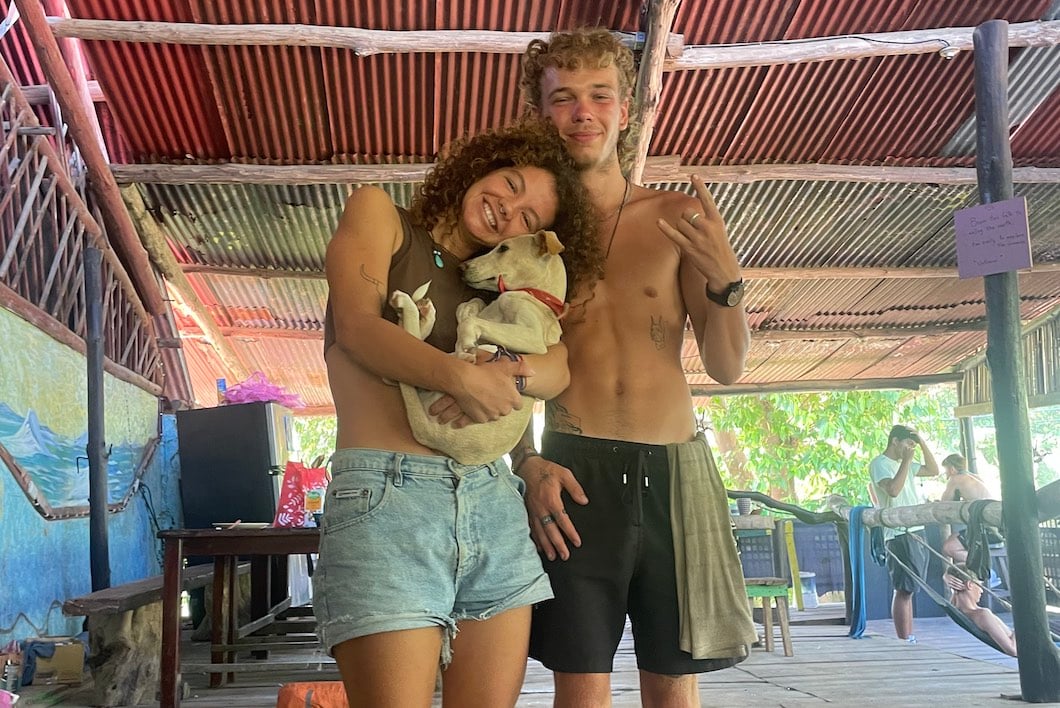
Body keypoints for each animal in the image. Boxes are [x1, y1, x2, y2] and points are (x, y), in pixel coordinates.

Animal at [390, 229, 568, 466]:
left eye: (503, 248)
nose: (461, 267)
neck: (536, 295)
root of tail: (430, 434)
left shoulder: (533, 338)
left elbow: (470, 323)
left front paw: (465, 342)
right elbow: (469, 307)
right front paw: (469, 316)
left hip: (491, 351)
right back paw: (425, 316)